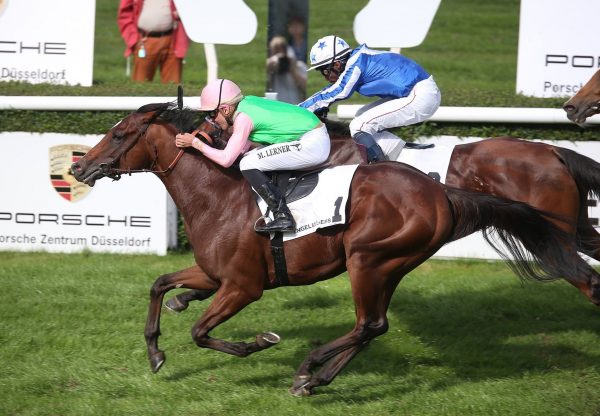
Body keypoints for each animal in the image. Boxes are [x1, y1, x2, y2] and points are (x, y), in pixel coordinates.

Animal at [69, 102, 596, 394]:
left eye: (119, 133)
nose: (78, 167)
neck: (218, 193)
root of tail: (441, 192)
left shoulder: (243, 286)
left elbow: (201, 332)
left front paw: (260, 341)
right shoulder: (215, 273)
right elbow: (161, 284)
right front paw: (156, 351)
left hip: (368, 259)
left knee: (369, 323)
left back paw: (309, 369)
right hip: (387, 265)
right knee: (373, 326)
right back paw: (316, 378)